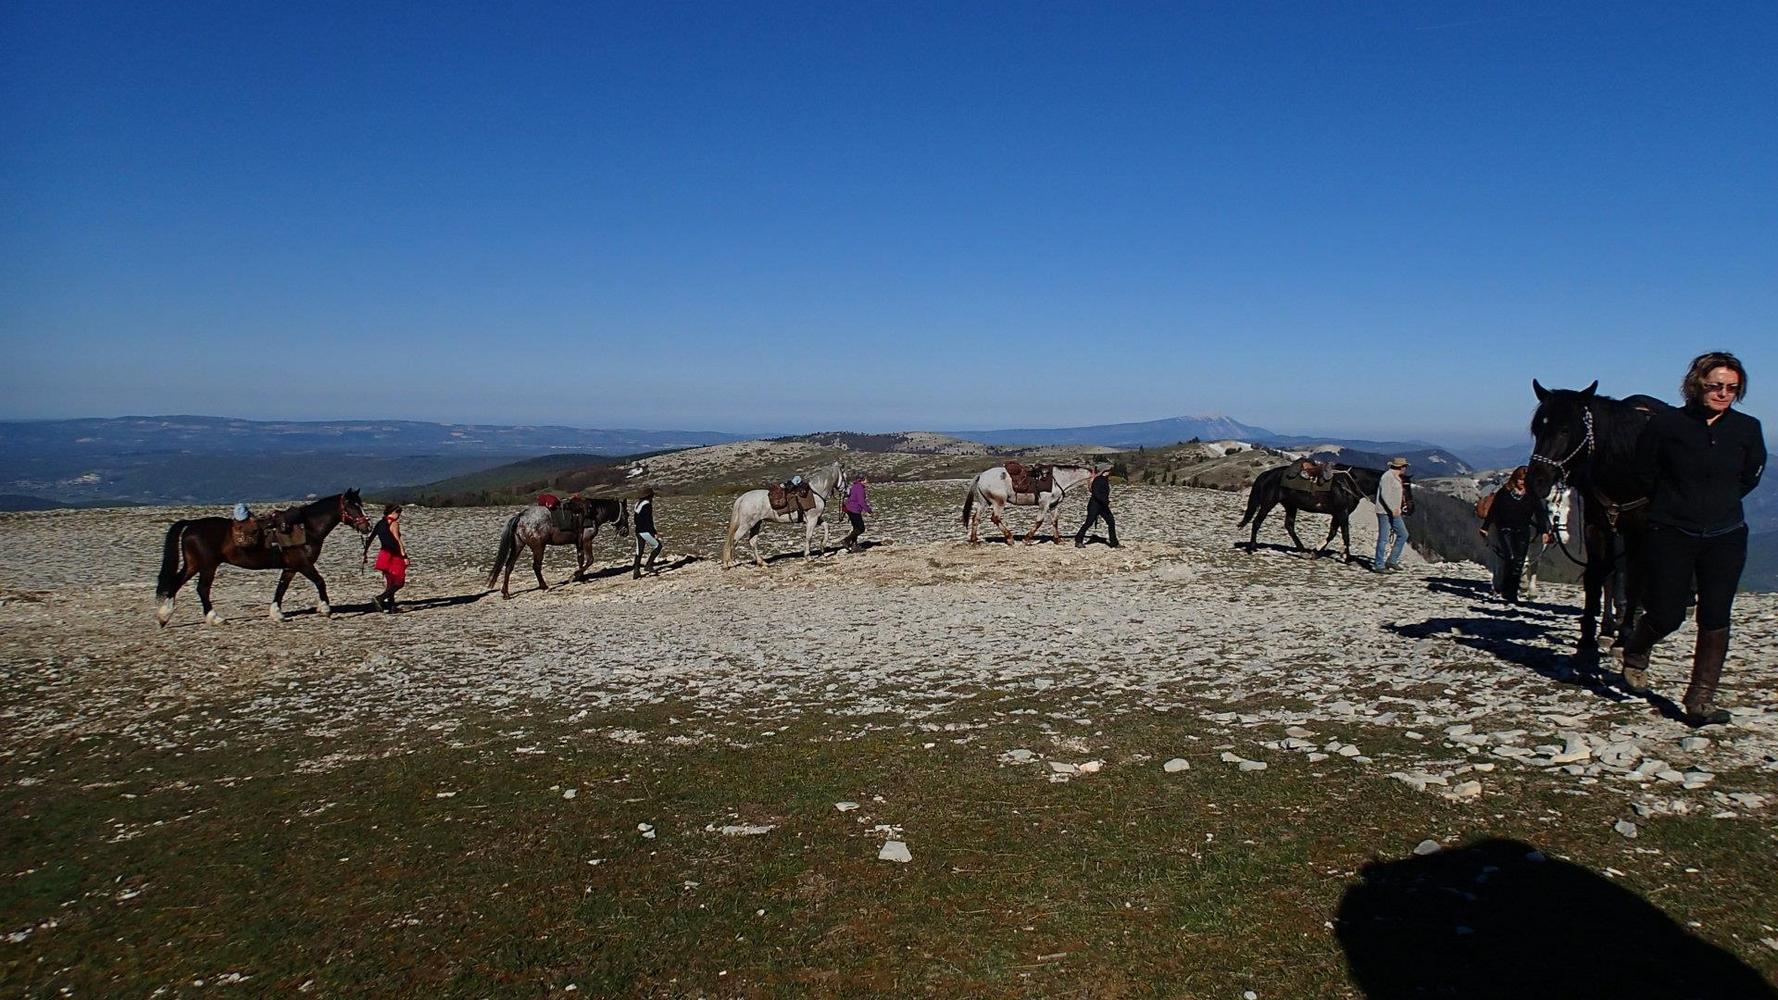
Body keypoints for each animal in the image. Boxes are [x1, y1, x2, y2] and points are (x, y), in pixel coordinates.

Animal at [155, 490, 371, 626]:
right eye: (352, 506)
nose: (367, 526)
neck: (307, 528)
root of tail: (191, 525)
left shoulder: (291, 567)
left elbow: (281, 588)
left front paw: (277, 614)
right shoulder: (303, 564)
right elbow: (320, 581)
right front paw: (325, 608)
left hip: (194, 564)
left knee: (177, 583)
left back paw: (164, 617)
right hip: (207, 565)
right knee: (202, 589)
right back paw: (214, 618)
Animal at [488, 496, 630, 598]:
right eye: (627, 514)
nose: (625, 532)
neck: (593, 513)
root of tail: (520, 517)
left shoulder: (578, 543)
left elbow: (580, 559)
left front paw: (581, 577)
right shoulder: (586, 540)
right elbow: (590, 560)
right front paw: (574, 576)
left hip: (518, 545)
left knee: (509, 566)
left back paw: (506, 593)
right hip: (538, 547)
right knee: (536, 566)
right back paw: (544, 586)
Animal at [961, 464, 1097, 544]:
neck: (1058, 479)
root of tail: (981, 476)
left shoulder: (1053, 505)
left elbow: (1055, 521)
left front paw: (1058, 539)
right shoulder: (1044, 503)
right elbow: (1039, 521)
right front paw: (1027, 539)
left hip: (984, 502)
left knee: (976, 518)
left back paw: (974, 540)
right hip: (999, 502)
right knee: (995, 518)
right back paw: (1009, 538)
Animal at [1237, 464, 1394, 563]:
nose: (1402, 509)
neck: (1349, 484)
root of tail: (1267, 474)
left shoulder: (1337, 514)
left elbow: (1332, 533)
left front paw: (1316, 551)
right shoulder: (1342, 513)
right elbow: (1345, 535)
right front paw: (1347, 558)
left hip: (1291, 505)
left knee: (1289, 526)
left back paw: (1302, 550)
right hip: (1268, 503)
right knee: (1257, 521)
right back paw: (1252, 548)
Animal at [1525, 379, 1671, 652]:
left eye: (1565, 430)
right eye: (1537, 428)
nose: (1536, 481)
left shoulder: (1640, 533)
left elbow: (1634, 581)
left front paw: (1624, 636)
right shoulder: (1596, 527)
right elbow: (1595, 578)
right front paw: (1588, 636)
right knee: (1611, 574)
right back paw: (1607, 627)